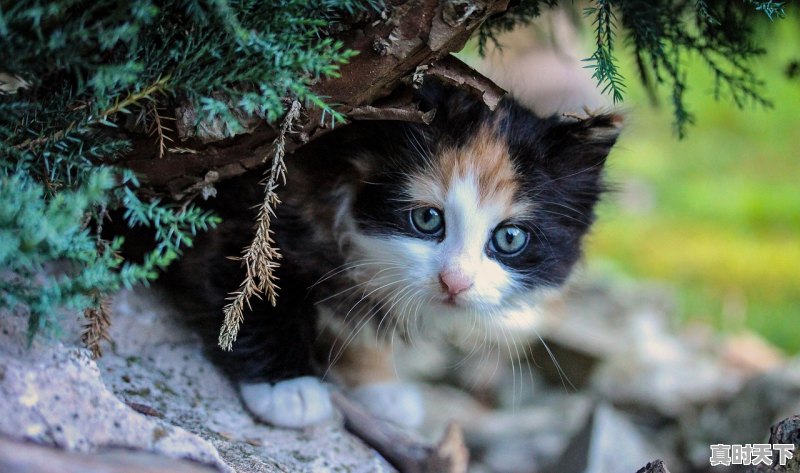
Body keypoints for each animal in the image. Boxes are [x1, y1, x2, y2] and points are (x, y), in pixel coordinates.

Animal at [167, 83, 620, 430]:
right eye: (427, 219)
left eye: (510, 239)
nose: (455, 281)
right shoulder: (248, 217)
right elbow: (253, 292)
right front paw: (288, 387)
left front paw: (375, 380)